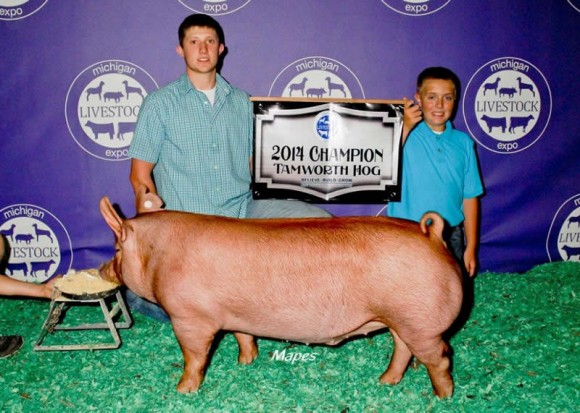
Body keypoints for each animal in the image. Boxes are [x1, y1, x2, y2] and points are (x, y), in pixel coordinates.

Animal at [98, 186, 462, 396]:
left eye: (116, 250)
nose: (101, 270)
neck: (159, 255)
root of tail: (431, 235)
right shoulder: (234, 314)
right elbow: (243, 335)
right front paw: (246, 362)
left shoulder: (190, 317)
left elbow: (194, 356)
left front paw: (183, 391)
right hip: (404, 318)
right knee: (404, 349)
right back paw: (385, 382)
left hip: (421, 321)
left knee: (440, 357)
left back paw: (442, 396)